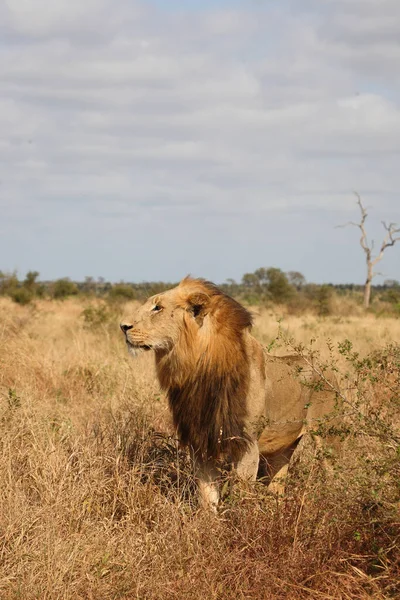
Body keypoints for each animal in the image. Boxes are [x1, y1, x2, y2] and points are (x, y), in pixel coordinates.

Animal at [119, 278, 338, 508]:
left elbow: (241, 492)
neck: (199, 369)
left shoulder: (247, 443)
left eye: (158, 308)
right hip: (282, 448)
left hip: (328, 439)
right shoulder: (201, 442)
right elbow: (206, 495)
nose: (123, 326)